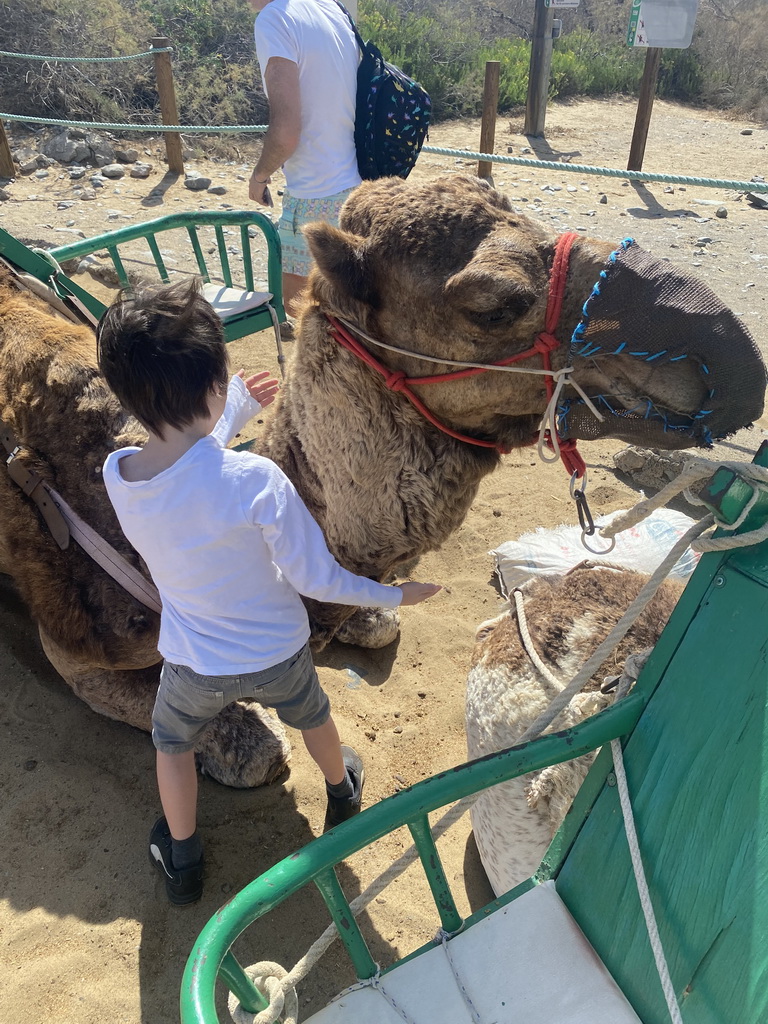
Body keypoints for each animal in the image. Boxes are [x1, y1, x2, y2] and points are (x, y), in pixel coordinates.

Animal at [0, 174, 765, 782]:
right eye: (494, 302)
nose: (724, 364)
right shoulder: (81, 642)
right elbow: (213, 728)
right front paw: (244, 737)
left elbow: (372, 623)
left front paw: (368, 615)